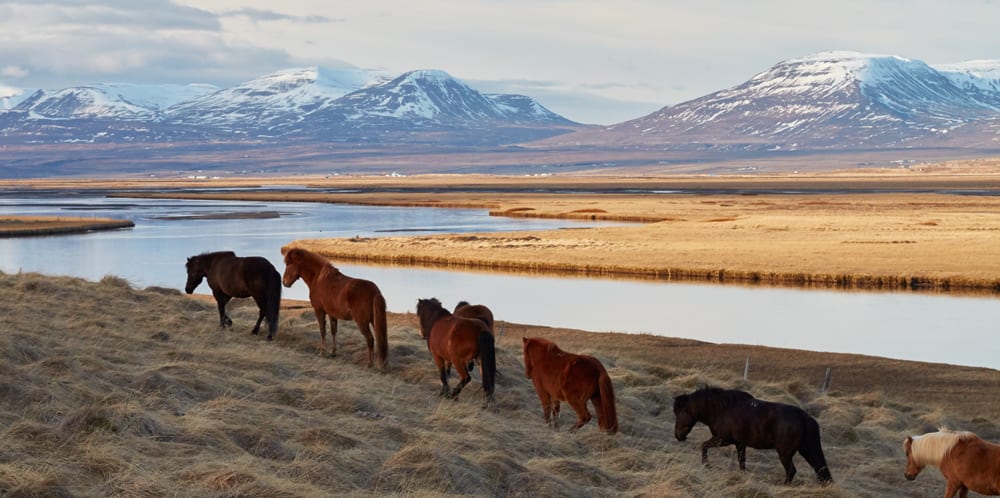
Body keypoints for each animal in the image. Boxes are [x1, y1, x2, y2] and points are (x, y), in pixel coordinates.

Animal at [672, 388, 836, 484]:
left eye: (678, 413)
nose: (678, 436)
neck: (722, 409)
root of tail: (804, 418)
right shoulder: (739, 443)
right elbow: (742, 461)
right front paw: (743, 476)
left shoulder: (722, 440)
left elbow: (703, 446)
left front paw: (706, 465)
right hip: (806, 450)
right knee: (819, 469)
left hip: (785, 453)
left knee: (791, 472)